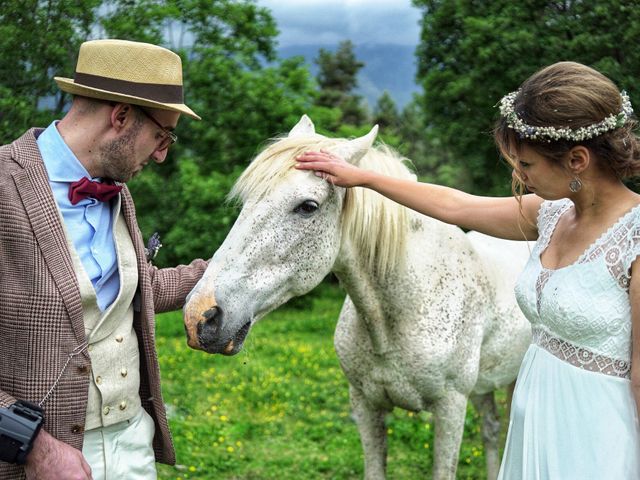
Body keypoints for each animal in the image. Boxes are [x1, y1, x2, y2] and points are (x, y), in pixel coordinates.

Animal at [184, 114, 528, 478]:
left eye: (307, 207)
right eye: (246, 201)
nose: (200, 316)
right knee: (491, 428)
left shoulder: (450, 407)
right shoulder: (365, 405)